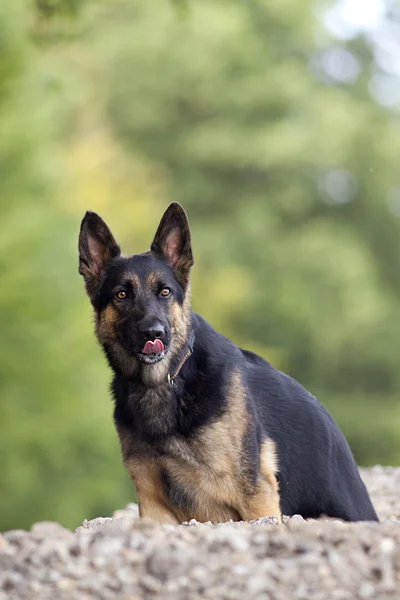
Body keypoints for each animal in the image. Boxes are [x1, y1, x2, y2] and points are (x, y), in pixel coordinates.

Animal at [78, 202, 378, 520]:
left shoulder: (255, 495)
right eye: (122, 294)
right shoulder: (152, 502)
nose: (153, 333)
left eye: (165, 292)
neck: (169, 379)